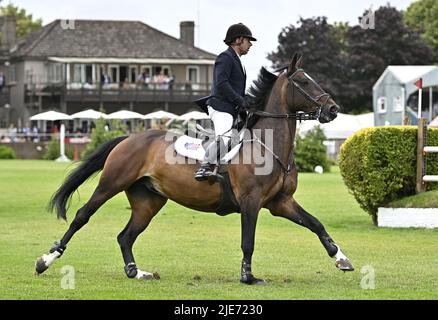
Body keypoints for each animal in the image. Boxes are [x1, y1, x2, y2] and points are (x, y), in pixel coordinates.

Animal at [36, 53, 354, 284]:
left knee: (125, 236)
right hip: (110, 184)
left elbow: (316, 224)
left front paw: (342, 259)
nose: (333, 110)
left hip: (148, 201)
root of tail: (130, 137)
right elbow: (248, 242)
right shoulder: (251, 201)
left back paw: (136, 272)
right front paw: (248, 277)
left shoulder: (280, 202)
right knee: (82, 216)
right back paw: (45, 260)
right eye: (304, 82)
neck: (270, 146)